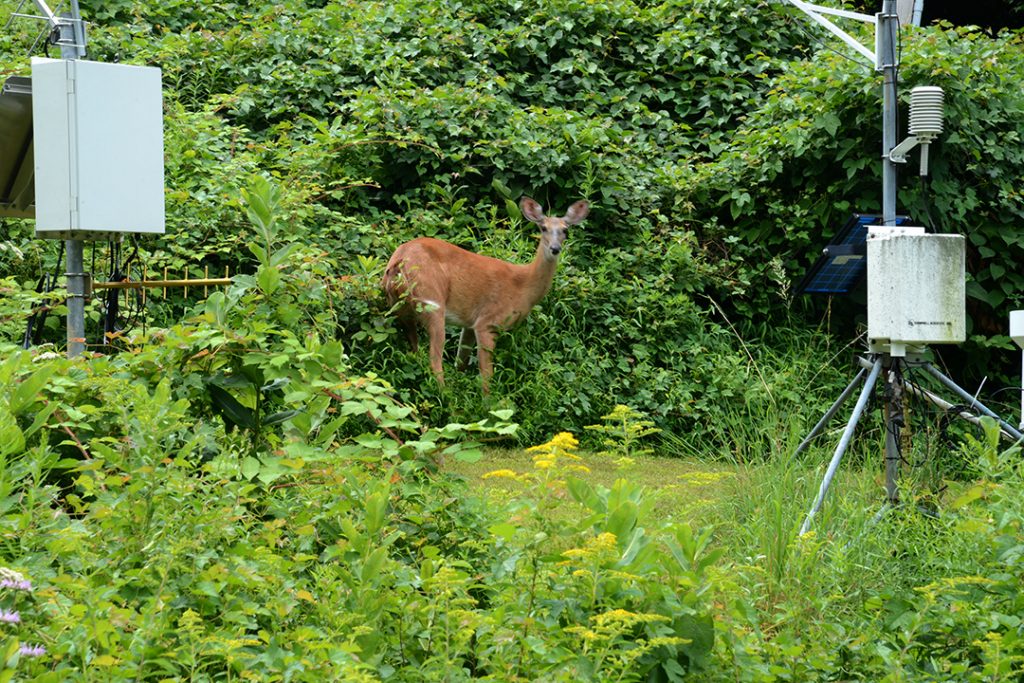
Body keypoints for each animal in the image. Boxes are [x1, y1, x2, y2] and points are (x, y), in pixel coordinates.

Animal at [382, 194, 593, 393]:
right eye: (543, 228)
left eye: (565, 230)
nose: (555, 248)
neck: (523, 286)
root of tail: (398, 261)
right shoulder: (487, 321)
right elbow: (486, 374)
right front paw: (488, 402)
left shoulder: (469, 323)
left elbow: (461, 362)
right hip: (431, 300)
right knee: (434, 360)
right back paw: (446, 396)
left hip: (399, 307)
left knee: (414, 348)